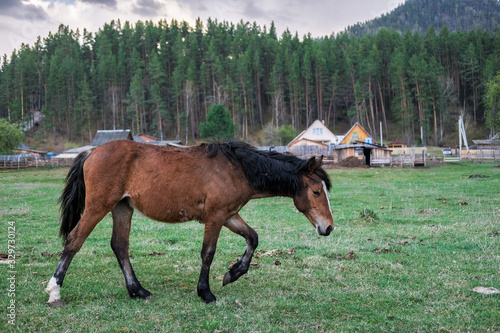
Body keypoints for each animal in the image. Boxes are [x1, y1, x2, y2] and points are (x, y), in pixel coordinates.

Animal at [44, 139, 332, 306]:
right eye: (316, 192)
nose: (328, 227)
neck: (238, 168)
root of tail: (91, 152)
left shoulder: (229, 215)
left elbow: (253, 238)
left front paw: (233, 273)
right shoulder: (215, 216)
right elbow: (208, 253)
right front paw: (206, 293)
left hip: (122, 208)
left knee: (120, 246)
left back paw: (138, 291)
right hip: (98, 206)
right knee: (74, 241)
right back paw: (54, 293)